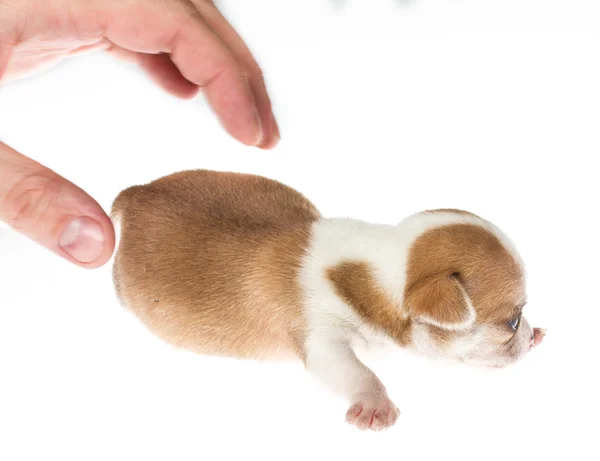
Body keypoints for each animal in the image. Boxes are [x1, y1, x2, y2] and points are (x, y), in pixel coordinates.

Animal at [110, 169, 548, 432]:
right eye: (512, 321)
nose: (527, 335)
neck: (375, 271)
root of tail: (135, 194)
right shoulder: (322, 340)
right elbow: (358, 371)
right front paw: (375, 402)